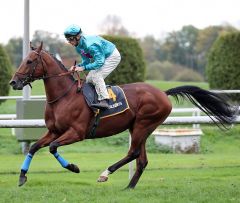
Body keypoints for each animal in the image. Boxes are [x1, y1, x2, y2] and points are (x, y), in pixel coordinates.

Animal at [9, 42, 238, 188]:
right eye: (23, 59)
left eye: (30, 61)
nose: (13, 82)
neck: (64, 97)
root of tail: (163, 93)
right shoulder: (54, 131)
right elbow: (35, 147)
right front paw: (22, 177)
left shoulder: (77, 132)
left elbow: (53, 148)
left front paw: (73, 167)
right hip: (139, 127)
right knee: (141, 159)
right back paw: (129, 188)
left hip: (143, 124)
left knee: (133, 153)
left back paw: (105, 174)